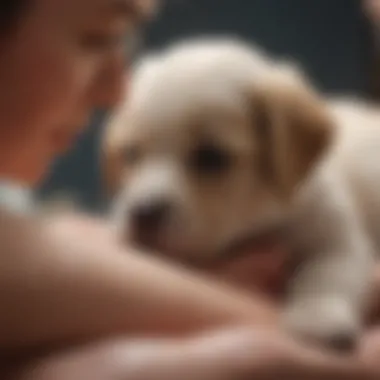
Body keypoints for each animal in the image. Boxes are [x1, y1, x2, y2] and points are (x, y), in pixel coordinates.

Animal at [102, 37, 378, 348]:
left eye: (212, 157)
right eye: (130, 153)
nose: (144, 213)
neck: (256, 222)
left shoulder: (337, 238)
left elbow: (323, 274)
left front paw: (318, 317)